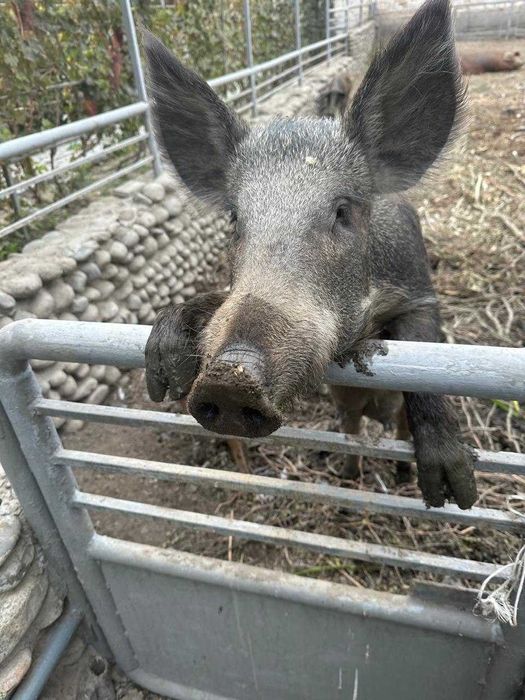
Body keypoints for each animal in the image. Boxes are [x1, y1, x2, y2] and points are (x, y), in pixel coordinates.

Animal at [143, 0, 478, 510]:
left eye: (342, 212)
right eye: (235, 218)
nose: (230, 375)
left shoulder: (418, 290)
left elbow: (426, 359)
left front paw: (455, 494)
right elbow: (215, 301)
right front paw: (162, 368)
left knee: (395, 428)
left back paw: (409, 482)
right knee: (352, 428)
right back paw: (347, 477)